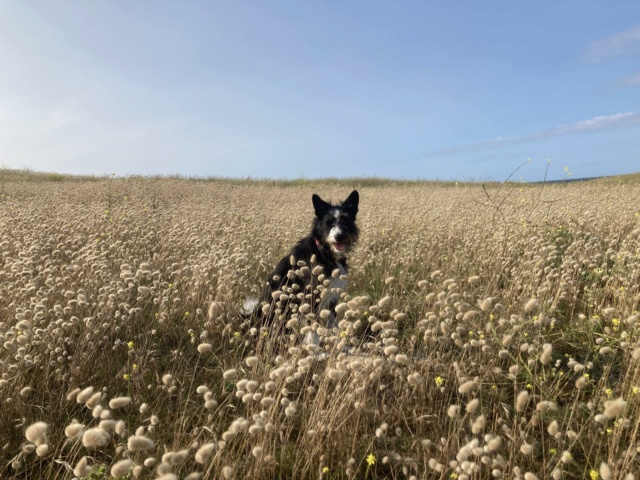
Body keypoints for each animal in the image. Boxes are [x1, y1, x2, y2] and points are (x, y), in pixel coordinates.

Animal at [242, 189, 360, 340]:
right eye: (329, 223)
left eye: (345, 220)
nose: (338, 236)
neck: (324, 252)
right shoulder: (312, 297)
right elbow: (313, 329)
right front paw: (313, 345)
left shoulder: (331, 298)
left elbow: (334, 324)